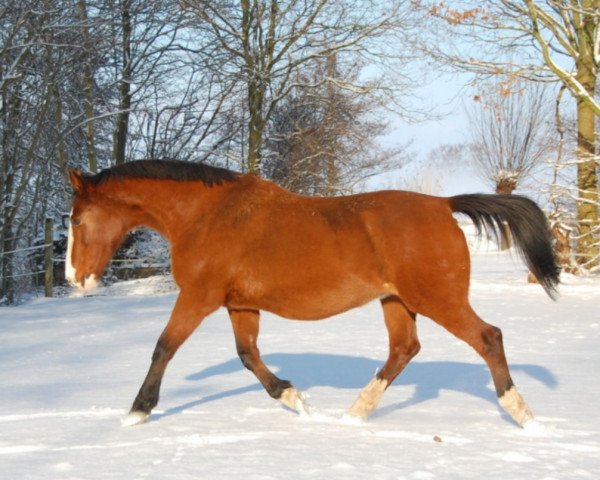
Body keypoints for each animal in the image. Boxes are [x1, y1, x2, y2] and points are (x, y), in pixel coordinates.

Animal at [68, 160, 560, 428]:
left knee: (488, 337)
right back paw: (354, 414)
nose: (76, 279)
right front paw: (294, 398)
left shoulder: (198, 297)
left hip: (438, 299)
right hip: (397, 302)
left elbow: (164, 347)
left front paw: (137, 411)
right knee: (404, 349)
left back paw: (522, 414)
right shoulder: (240, 304)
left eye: (75, 219)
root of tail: (444, 205)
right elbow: (248, 355)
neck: (208, 215)